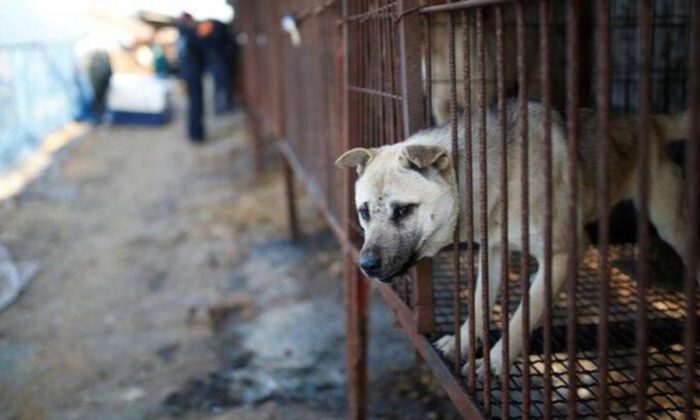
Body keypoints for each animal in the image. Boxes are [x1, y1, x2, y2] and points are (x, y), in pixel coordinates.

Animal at [336, 100, 692, 376]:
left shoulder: (564, 252)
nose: (366, 265)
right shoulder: (492, 251)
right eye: (364, 212)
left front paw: (494, 363)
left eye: (402, 210)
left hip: (672, 224)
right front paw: (462, 342)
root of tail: (646, 120)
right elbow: (479, 304)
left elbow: (521, 318)